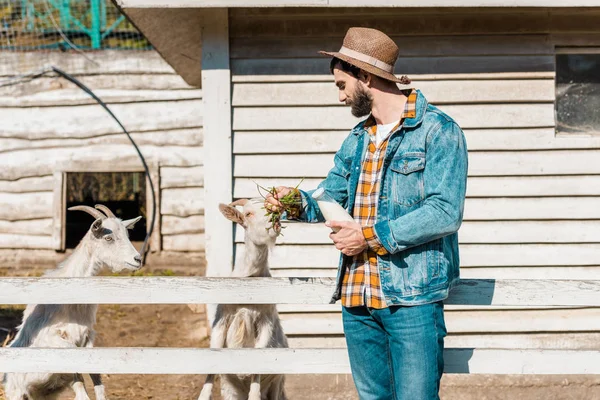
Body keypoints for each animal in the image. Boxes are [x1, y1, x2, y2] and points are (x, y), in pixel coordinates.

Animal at [2, 205, 142, 400]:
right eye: (108, 237)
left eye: (127, 235)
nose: (138, 259)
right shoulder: (52, 338)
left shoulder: (87, 336)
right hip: (16, 391)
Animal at [198, 198, 290, 400]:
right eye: (248, 214)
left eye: (275, 210)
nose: (275, 224)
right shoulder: (221, 320)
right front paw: (204, 394)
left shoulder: (265, 322)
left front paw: (254, 394)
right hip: (230, 389)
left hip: (277, 383)